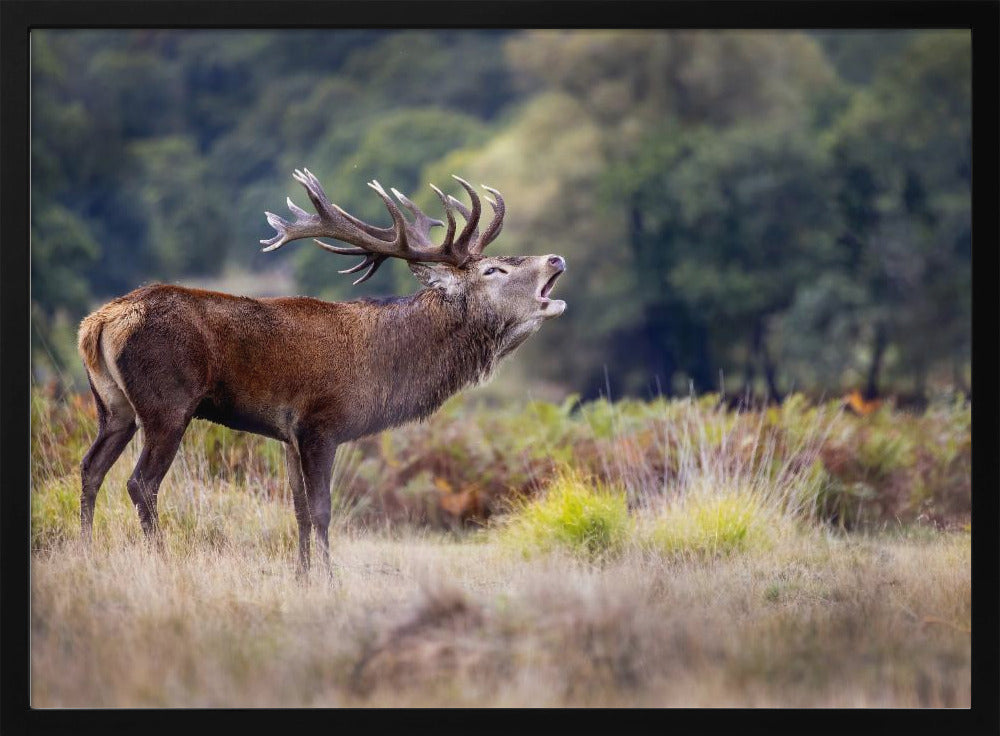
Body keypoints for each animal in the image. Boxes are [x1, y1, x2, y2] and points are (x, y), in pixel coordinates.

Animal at [77, 169, 566, 575]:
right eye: (493, 269)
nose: (556, 259)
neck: (385, 367)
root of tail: (98, 323)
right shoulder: (320, 424)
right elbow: (321, 510)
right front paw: (329, 578)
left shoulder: (287, 434)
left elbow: (297, 510)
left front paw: (302, 575)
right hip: (168, 404)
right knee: (140, 483)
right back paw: (159, 557)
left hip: (113, 407)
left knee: (90, 468)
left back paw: (87, 551)